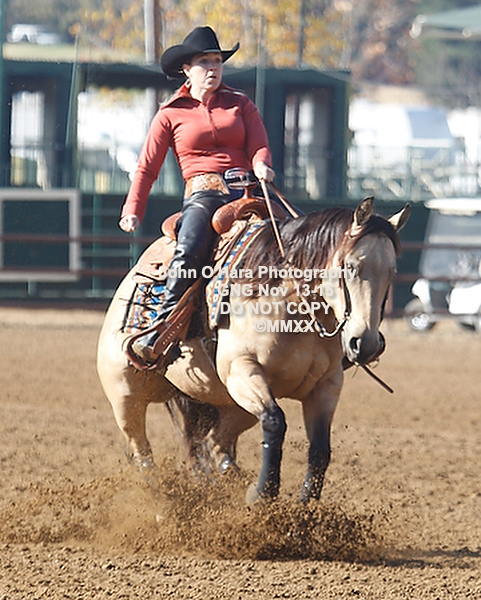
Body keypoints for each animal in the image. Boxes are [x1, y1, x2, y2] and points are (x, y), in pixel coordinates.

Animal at [97, 197, 410, 503]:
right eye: (351, 267)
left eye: (392, 272)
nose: (365, 344)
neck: (287, 301)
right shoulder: (242, 370)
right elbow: (275, 422)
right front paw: (263, 494)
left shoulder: (327, 384)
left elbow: (320, 448)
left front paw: (304, 508)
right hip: (126, 397)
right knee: (143, 454)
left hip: (228, 404)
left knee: (212, 444)